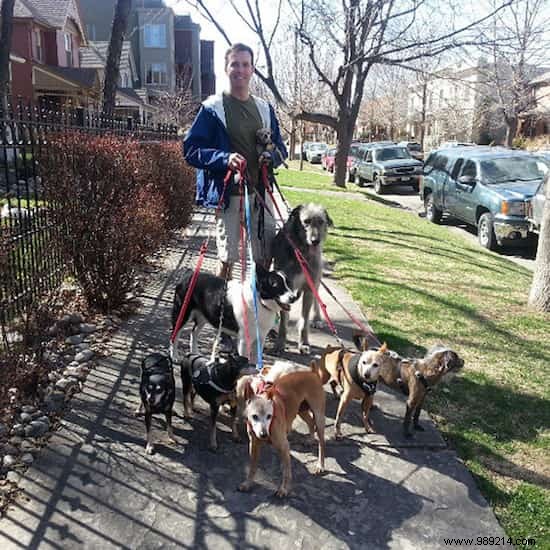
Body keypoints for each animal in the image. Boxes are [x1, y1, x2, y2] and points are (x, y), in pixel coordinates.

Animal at [238, 370, 328, 500]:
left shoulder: (284, 446)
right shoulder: (254, 445)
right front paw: (248, 483)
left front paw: (284, 489)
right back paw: (310, 440)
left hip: (319, 415)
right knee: (311, 423)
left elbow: (286, 471)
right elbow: (252, 467)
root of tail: (311, 372)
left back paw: (320, 465)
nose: (264, 435)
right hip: (301, 410)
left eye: (269, 416)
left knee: (321, 443)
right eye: (254, 416)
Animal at [270, 205, 334, 356]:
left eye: (321, 221)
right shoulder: (286, 286)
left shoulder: (310, 287)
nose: (315, 241)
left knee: (317, 299)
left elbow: (304, 321)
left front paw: (304, 343)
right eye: (306, 221)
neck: (302, 251)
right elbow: (284, 320)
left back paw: (317, 319)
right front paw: (280, 344)